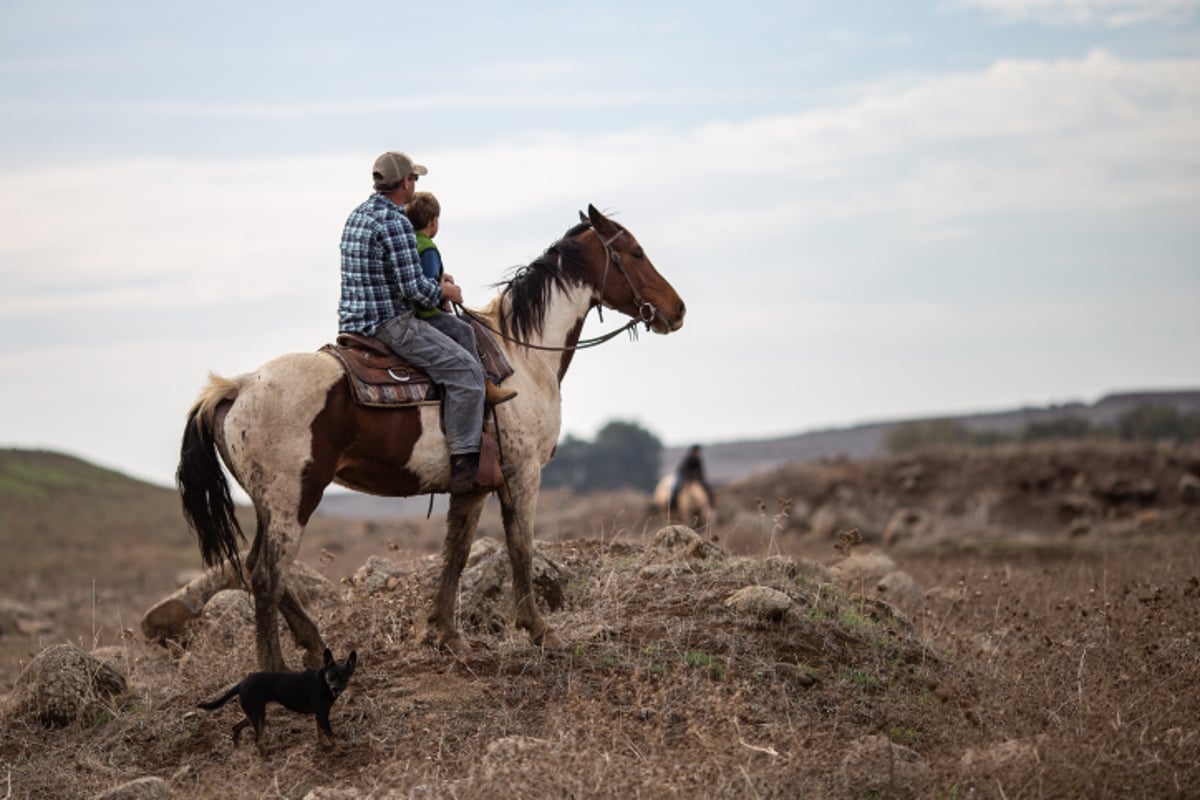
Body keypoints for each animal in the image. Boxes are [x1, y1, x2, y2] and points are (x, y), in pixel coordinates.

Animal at [175, 205, 686, 671]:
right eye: (635, 252)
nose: (677, 309)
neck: (521, 355)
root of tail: (238, 386)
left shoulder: (473, 483)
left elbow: (455, 553)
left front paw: (444, 634)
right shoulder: (522, 472)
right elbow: (520, 546)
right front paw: (540, 630)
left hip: (271, 504)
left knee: (255, 570)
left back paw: (316, 646)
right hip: (292, 500)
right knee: (266, 576)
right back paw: (276, 671)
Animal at [196, 647, 352, 753]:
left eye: (343, 678)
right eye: (331, 676)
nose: (335, 688)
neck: (323, 681)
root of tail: (241, 683)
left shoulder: (319, 715)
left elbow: (319, 732)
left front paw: (323, 745)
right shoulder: (321, 715)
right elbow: (331, 735)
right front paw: (339, 751)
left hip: (253, 713)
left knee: (236, 727)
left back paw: (238, 750)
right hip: (258, 714)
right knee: (258, 740)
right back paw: (266, 758)